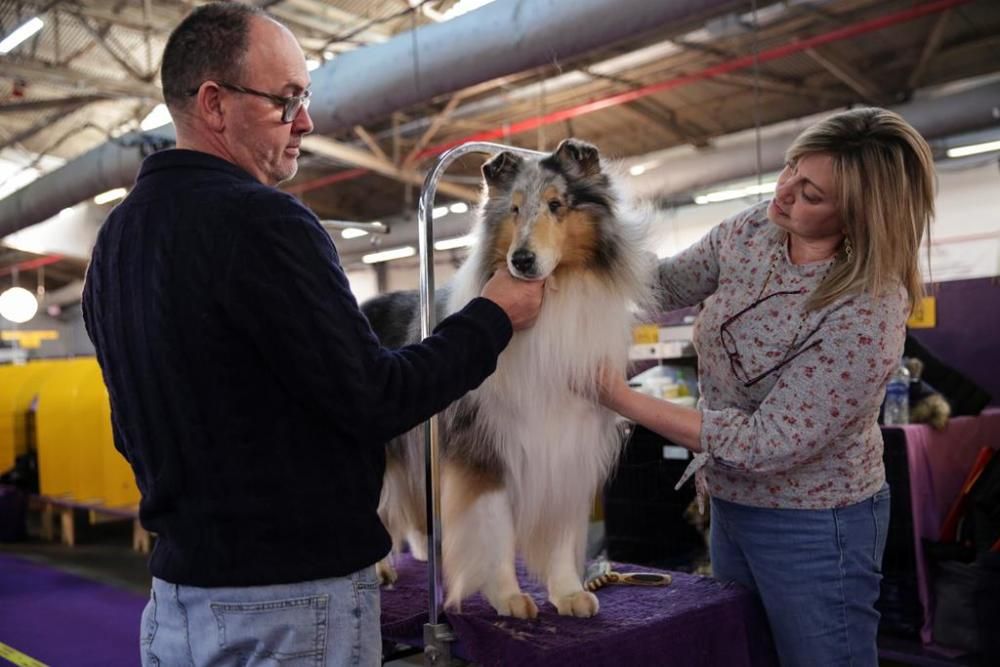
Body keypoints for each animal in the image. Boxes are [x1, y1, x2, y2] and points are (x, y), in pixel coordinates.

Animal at [360, 138, 648, 620]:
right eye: (513, 209)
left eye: (556, 205)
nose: (522, 260)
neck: (552, 301)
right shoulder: (482, 446)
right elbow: (493, 527)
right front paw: (509, 598)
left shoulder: (567, 443)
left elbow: (560, 529)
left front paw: (570, 593)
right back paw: (381, 571)